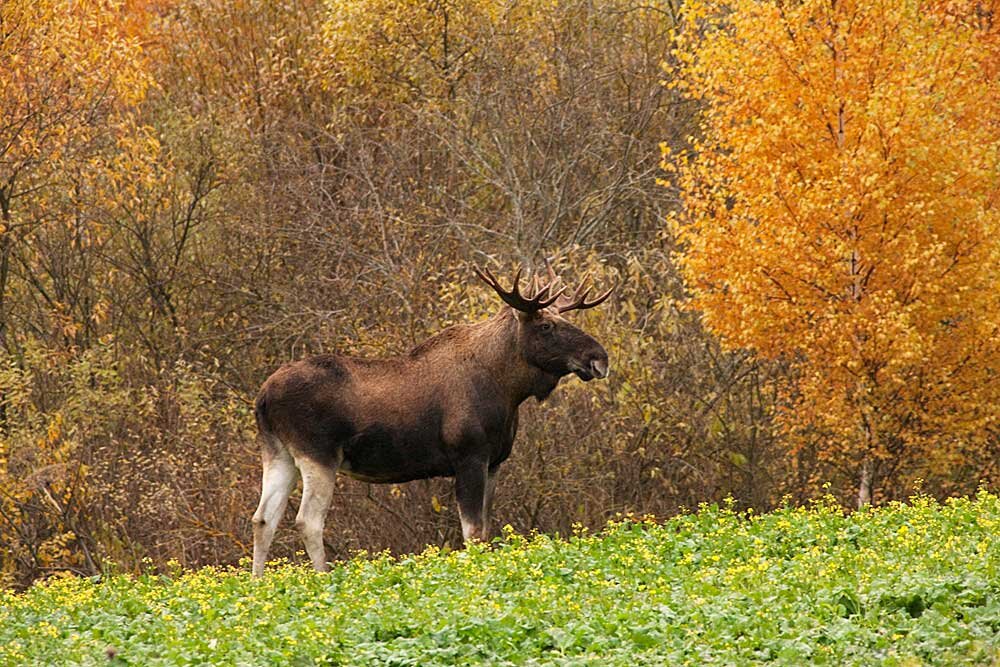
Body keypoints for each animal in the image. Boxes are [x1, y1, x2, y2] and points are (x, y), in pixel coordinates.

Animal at [250, 264, 608, 576]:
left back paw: (258, 583)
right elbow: (473, 532)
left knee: (263, 518)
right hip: (318, 455)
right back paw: (323, 578)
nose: (599, 358)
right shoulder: (469, 457)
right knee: (307, 520)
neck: (507, 389)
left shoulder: (494, 462)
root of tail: (263, 396)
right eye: (546, 326)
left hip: (279, 453)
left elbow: (485, 531)